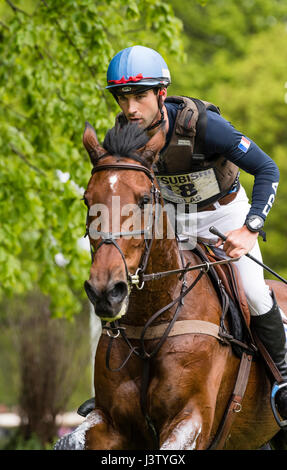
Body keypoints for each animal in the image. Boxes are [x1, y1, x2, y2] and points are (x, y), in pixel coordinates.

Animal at [56, 120, 287, 448]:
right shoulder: (111, 421)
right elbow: (71, 439)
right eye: (87, 200)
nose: (105, 291)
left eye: (144, 199)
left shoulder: (192, 418)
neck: (153, 317)